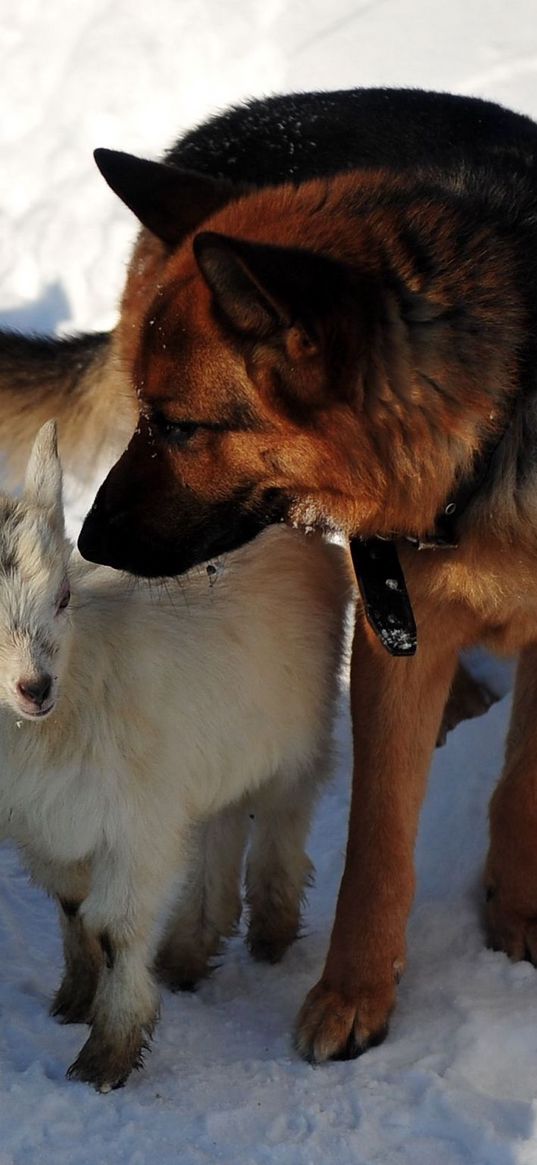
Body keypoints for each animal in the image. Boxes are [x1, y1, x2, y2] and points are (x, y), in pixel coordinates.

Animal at [0, 84, 528, 1067]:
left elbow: (517, 786)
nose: (91, 539)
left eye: (182, 427)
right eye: (151, 417)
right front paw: (348, 997)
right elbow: (376, 836)